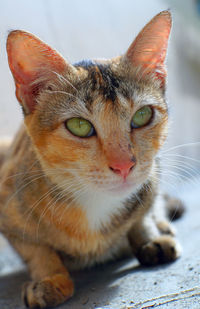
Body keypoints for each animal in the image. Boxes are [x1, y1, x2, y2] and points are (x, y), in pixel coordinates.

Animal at [0, 10, 184, 306]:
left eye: (142, 115)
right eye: (79, 126)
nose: (124, 165)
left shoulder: (152, 176)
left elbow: (143, 212)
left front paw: (149, 237)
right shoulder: (8, 202)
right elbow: (36, 249)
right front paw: (50, 279)